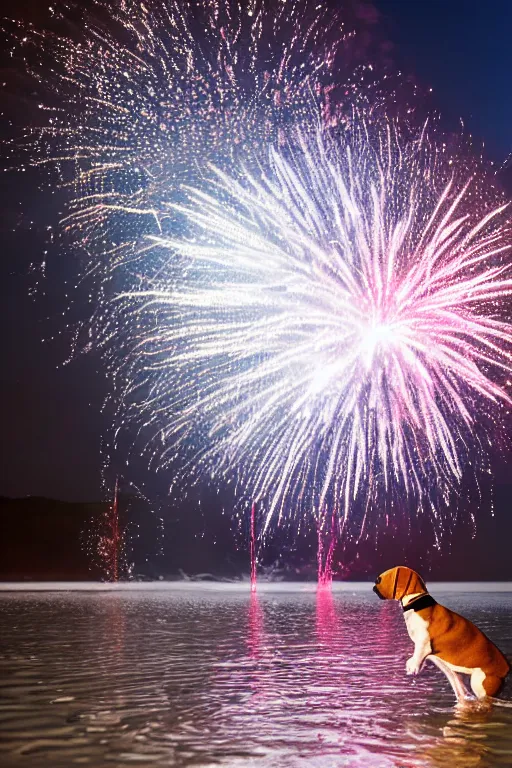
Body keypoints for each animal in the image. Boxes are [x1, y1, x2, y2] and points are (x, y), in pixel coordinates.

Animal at [374, 564, 510, 704]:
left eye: (379, 580)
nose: (373, 588)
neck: (417, 604)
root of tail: (506, 669)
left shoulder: (424, 642)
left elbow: (418, 653)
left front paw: (413, 666)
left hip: (480, 683)